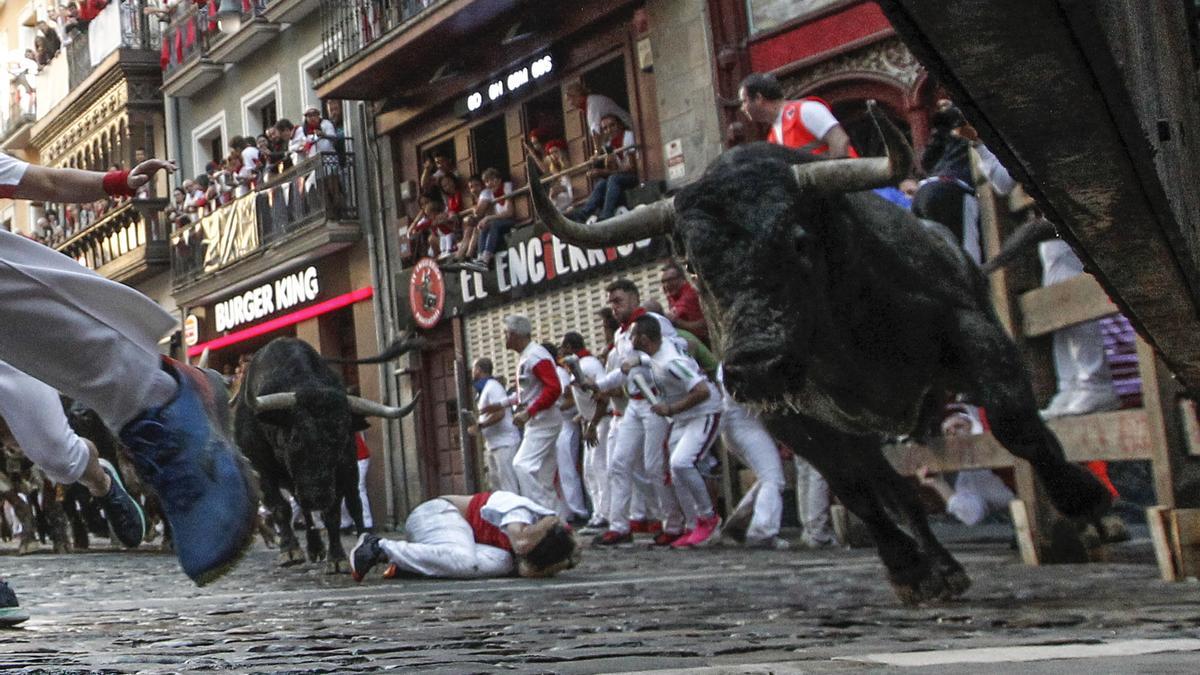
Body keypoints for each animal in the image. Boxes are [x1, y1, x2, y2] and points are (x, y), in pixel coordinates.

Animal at [234, 333, 422, 569]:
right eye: (295, 438)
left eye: (341, 439)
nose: (317, 496)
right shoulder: (262, 470)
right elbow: (281, 508)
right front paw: (290, 550)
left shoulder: (341, 470)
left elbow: (332, 513)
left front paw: (337, 557)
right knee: (302, 507)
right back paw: (313, 547)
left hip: (349, 473)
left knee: (354, 505)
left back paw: (360, 540)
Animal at [530, 106, 1108, 605]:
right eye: (692, 262)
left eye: (799, 241)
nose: (757, 367)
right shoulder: (793, 418)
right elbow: (854, 489)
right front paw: (909, 570)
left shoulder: (972, 330)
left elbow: (1015, 423)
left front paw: (1088, 507)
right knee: (893, 487)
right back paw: (940, 568)